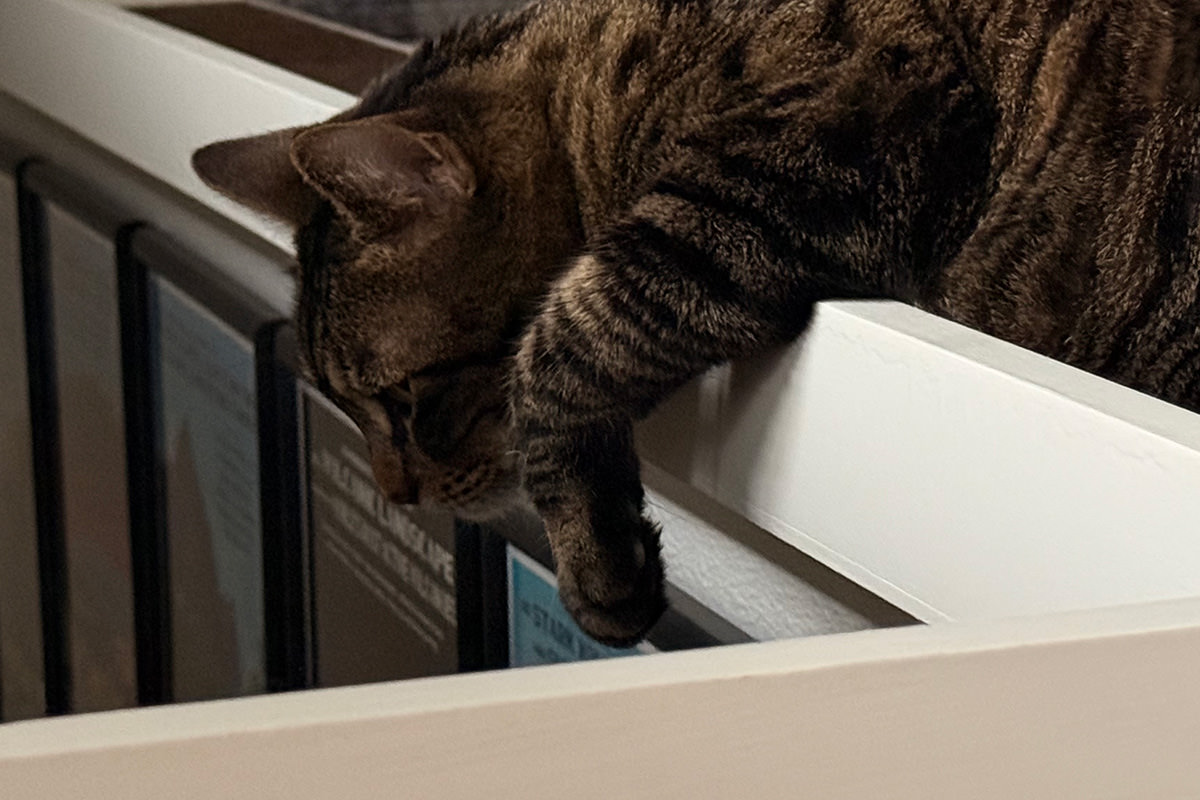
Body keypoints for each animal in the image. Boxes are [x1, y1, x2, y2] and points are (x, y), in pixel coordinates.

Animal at [192, 0, 1200, 642]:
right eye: (350, 406)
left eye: (406, 401)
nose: (396, 495)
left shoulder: (821, 150)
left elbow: (559, 350)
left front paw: (600, 566)